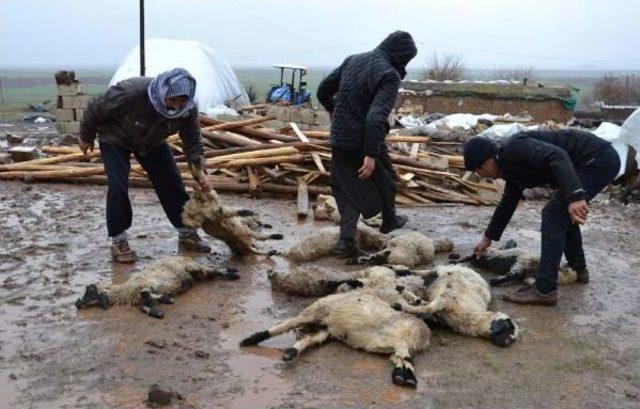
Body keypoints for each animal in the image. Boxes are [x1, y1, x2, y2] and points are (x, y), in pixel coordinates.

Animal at [75, 253, 239, 318]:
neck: (123, 292)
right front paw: (158, 311)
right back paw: (232, 271)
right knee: (212, 271)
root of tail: (183, 257)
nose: (77, 303)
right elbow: (144, 306)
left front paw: (166, 300)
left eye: (88, 291)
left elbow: (149, 293)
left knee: (215, 270)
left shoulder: (148, 285)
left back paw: (233, 274)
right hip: (196, 273)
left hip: (191, 267)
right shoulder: (142, 298)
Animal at [240, 290, 430, 386]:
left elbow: (401, 359)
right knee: (288, 323)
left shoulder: (396, 346)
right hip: (315, 312)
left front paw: (401, 376)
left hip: (326, 330)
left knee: (308, 339)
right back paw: (250, 340)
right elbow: (406, 358)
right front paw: (408, 378)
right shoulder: (400, 339)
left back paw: (290, 353)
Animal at [390, 264, 520, 348]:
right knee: (421, 271)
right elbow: (428, 307)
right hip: (441, 272)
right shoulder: (447, 298)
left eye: (514, 338)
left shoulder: (444, 307)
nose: (507, 342)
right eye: (507, 327)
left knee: (421, 273)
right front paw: (401, 306)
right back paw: (396, 270)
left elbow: (428, 308)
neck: (477, 317)